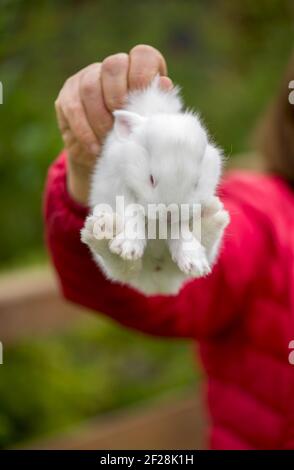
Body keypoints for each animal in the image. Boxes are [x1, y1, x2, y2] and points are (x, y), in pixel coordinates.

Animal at [81, 77, 230, 294]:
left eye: (196, 183)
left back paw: (211, 219)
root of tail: (156, 281)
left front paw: (193, 261)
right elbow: (132, 211)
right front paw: (128, 247)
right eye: (151, 179)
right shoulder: (119, 187)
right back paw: (105, 233)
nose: (168, 214)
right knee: (123, 268)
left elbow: (180, 229)